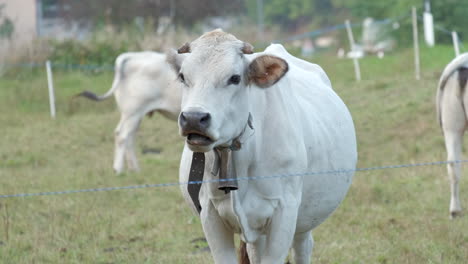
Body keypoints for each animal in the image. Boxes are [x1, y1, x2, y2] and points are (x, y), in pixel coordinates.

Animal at [170, 29, 356, 264]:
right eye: (182, 76)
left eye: (235, 78)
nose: (194, 118)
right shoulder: (210, 213)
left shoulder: (285, 212)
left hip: (305, 218)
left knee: (303, 247)